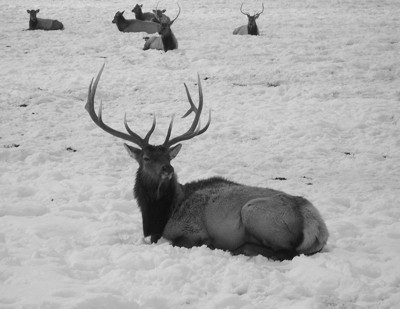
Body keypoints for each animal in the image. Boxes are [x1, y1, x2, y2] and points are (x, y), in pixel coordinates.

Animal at [84, 65, 328, 260]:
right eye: (146, 158)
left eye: (169, 156)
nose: (168, 169)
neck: (159, 215)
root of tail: (317, 226)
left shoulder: (192, 231)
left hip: (255, 212)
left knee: (286, 252)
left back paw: (239, 248)